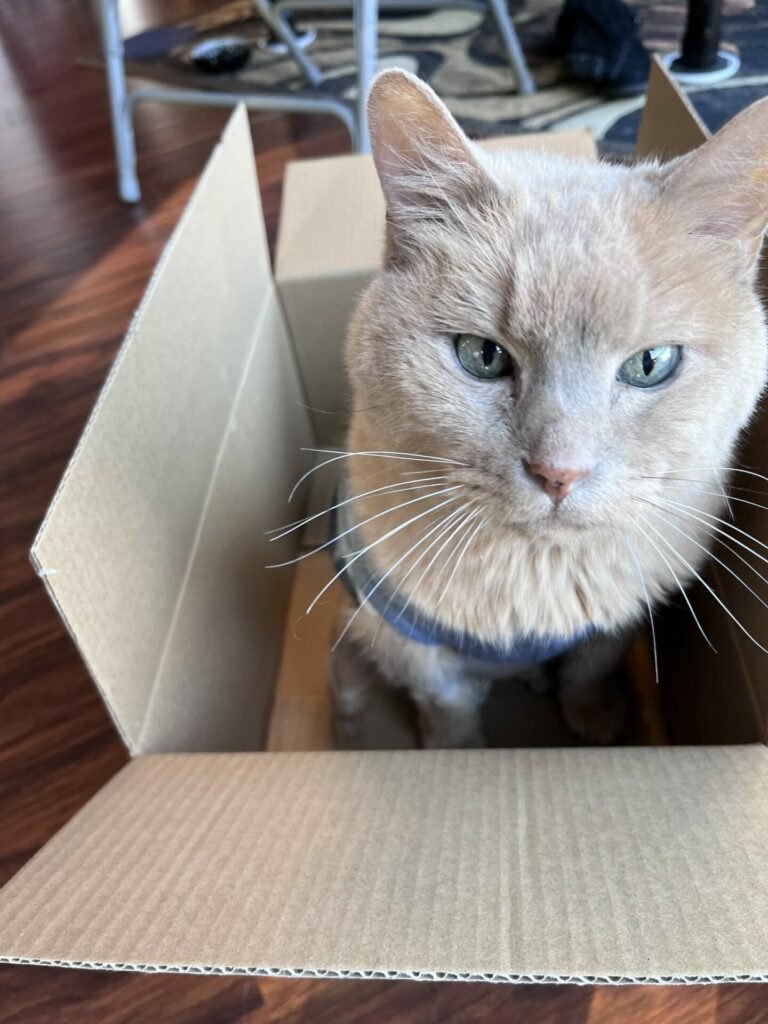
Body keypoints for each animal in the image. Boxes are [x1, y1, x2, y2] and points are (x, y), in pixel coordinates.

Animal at [325, 70, 768, 745]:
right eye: (482, 355)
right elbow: (447, 702)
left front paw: (597, 716)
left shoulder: (617, 617)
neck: (538, 578)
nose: (560, 473)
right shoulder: (407, 640)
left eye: (650, 364)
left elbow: (591, 665)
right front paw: (452, 749)